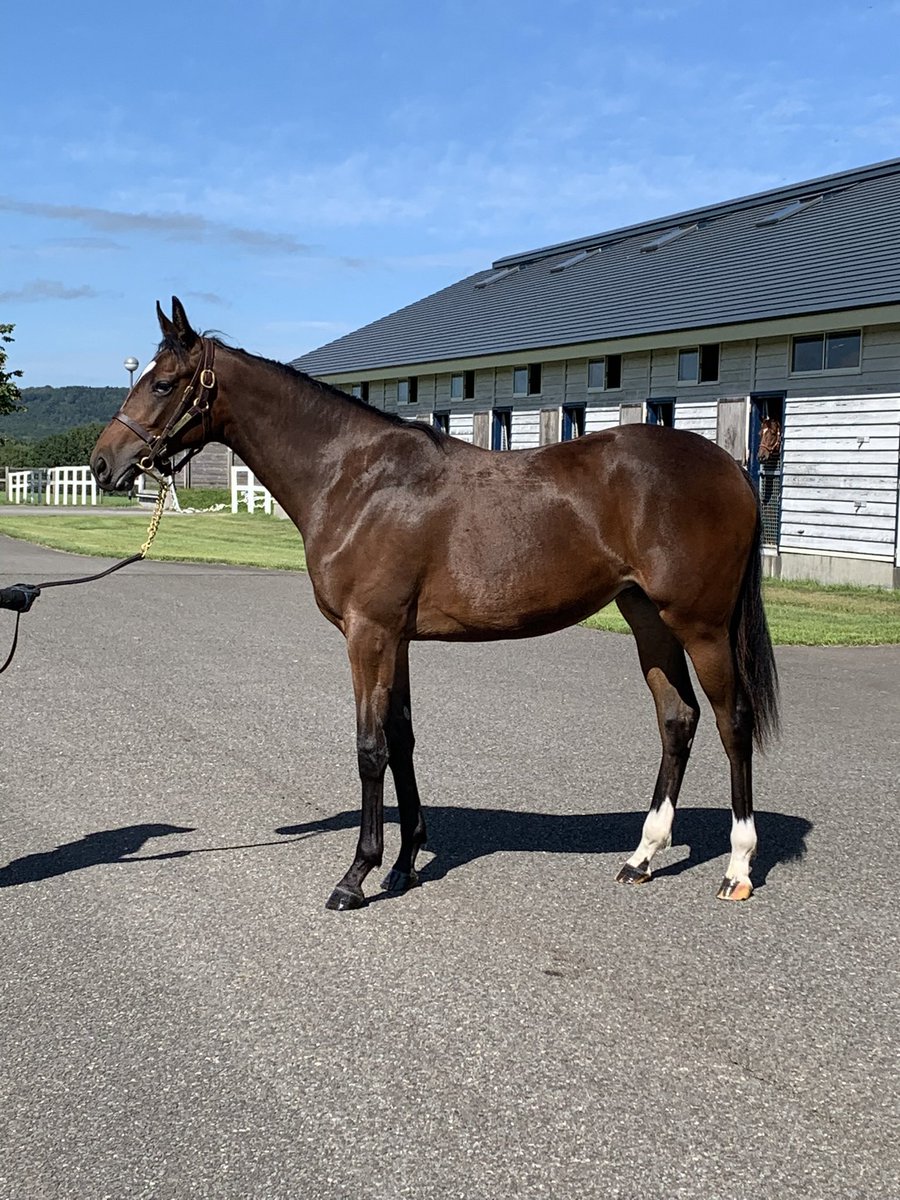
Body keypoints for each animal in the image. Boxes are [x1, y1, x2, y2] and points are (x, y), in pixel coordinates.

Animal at [93, 297, 782, 907]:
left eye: (164, 383)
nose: (103, 464)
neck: (356, 479)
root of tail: (729, 467)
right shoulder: (394, 638)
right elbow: (401, 739)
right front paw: (404, 865)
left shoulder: (368, 634)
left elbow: (370, 747)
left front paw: (357, 876)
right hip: (647, 618)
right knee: (677, 719)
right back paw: (642, 857)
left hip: (701, 625)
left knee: (732, 721)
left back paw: (738, 867)